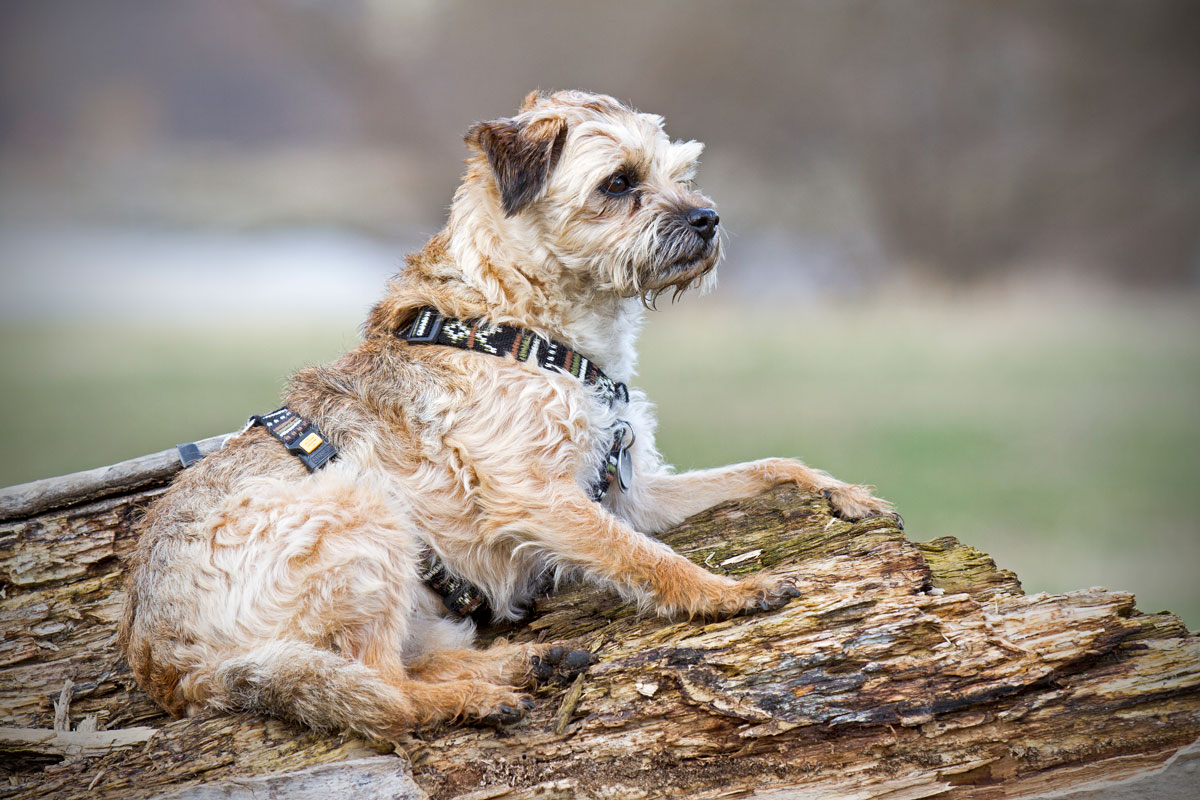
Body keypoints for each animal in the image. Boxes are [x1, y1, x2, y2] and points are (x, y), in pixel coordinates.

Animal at [119, 90, 892, 743]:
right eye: (619, 183)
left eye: (681, 172)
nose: (709, 219)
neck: (522, 324)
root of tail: (168, 662)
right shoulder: (539, 497)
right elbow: (648, 559)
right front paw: (729, 591)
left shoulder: (630, 492)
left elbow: (763, 467)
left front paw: (838, 491)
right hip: (358, 518)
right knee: (380, 687)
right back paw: (476, 696)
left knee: (403, 666)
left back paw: (529, 664)